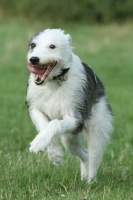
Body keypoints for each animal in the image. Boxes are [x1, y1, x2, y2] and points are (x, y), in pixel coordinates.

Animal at [26, 28, 113, 184]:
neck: (55, 81)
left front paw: (38, 145)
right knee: (84, 154)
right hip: (70, 138)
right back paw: (84, 178)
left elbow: (54, 123)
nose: (33, 59)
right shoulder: (35, 108)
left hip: (97, 127)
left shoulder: (75, 117)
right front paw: (54, 154)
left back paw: (91, 182)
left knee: (94, 155)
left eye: (52, 46)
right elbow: (44, 125)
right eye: (33, 45)